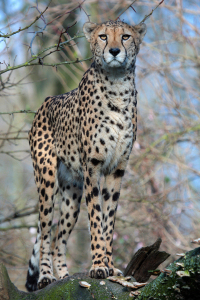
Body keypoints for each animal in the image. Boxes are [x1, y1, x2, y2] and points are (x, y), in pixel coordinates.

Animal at [25, 19, 146, 292]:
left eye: (125, 36)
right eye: (103, 36)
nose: (114, 51)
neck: (117, 85)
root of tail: (46, 101)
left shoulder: (116, 169)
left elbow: (108, 219)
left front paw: (110, 265)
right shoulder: (93, 167)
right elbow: (96, 219)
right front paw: (99, 265)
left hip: (72, 191)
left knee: (58, 239)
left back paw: (63, 277)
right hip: (47, 182)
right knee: (46, 234)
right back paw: (46, 277)